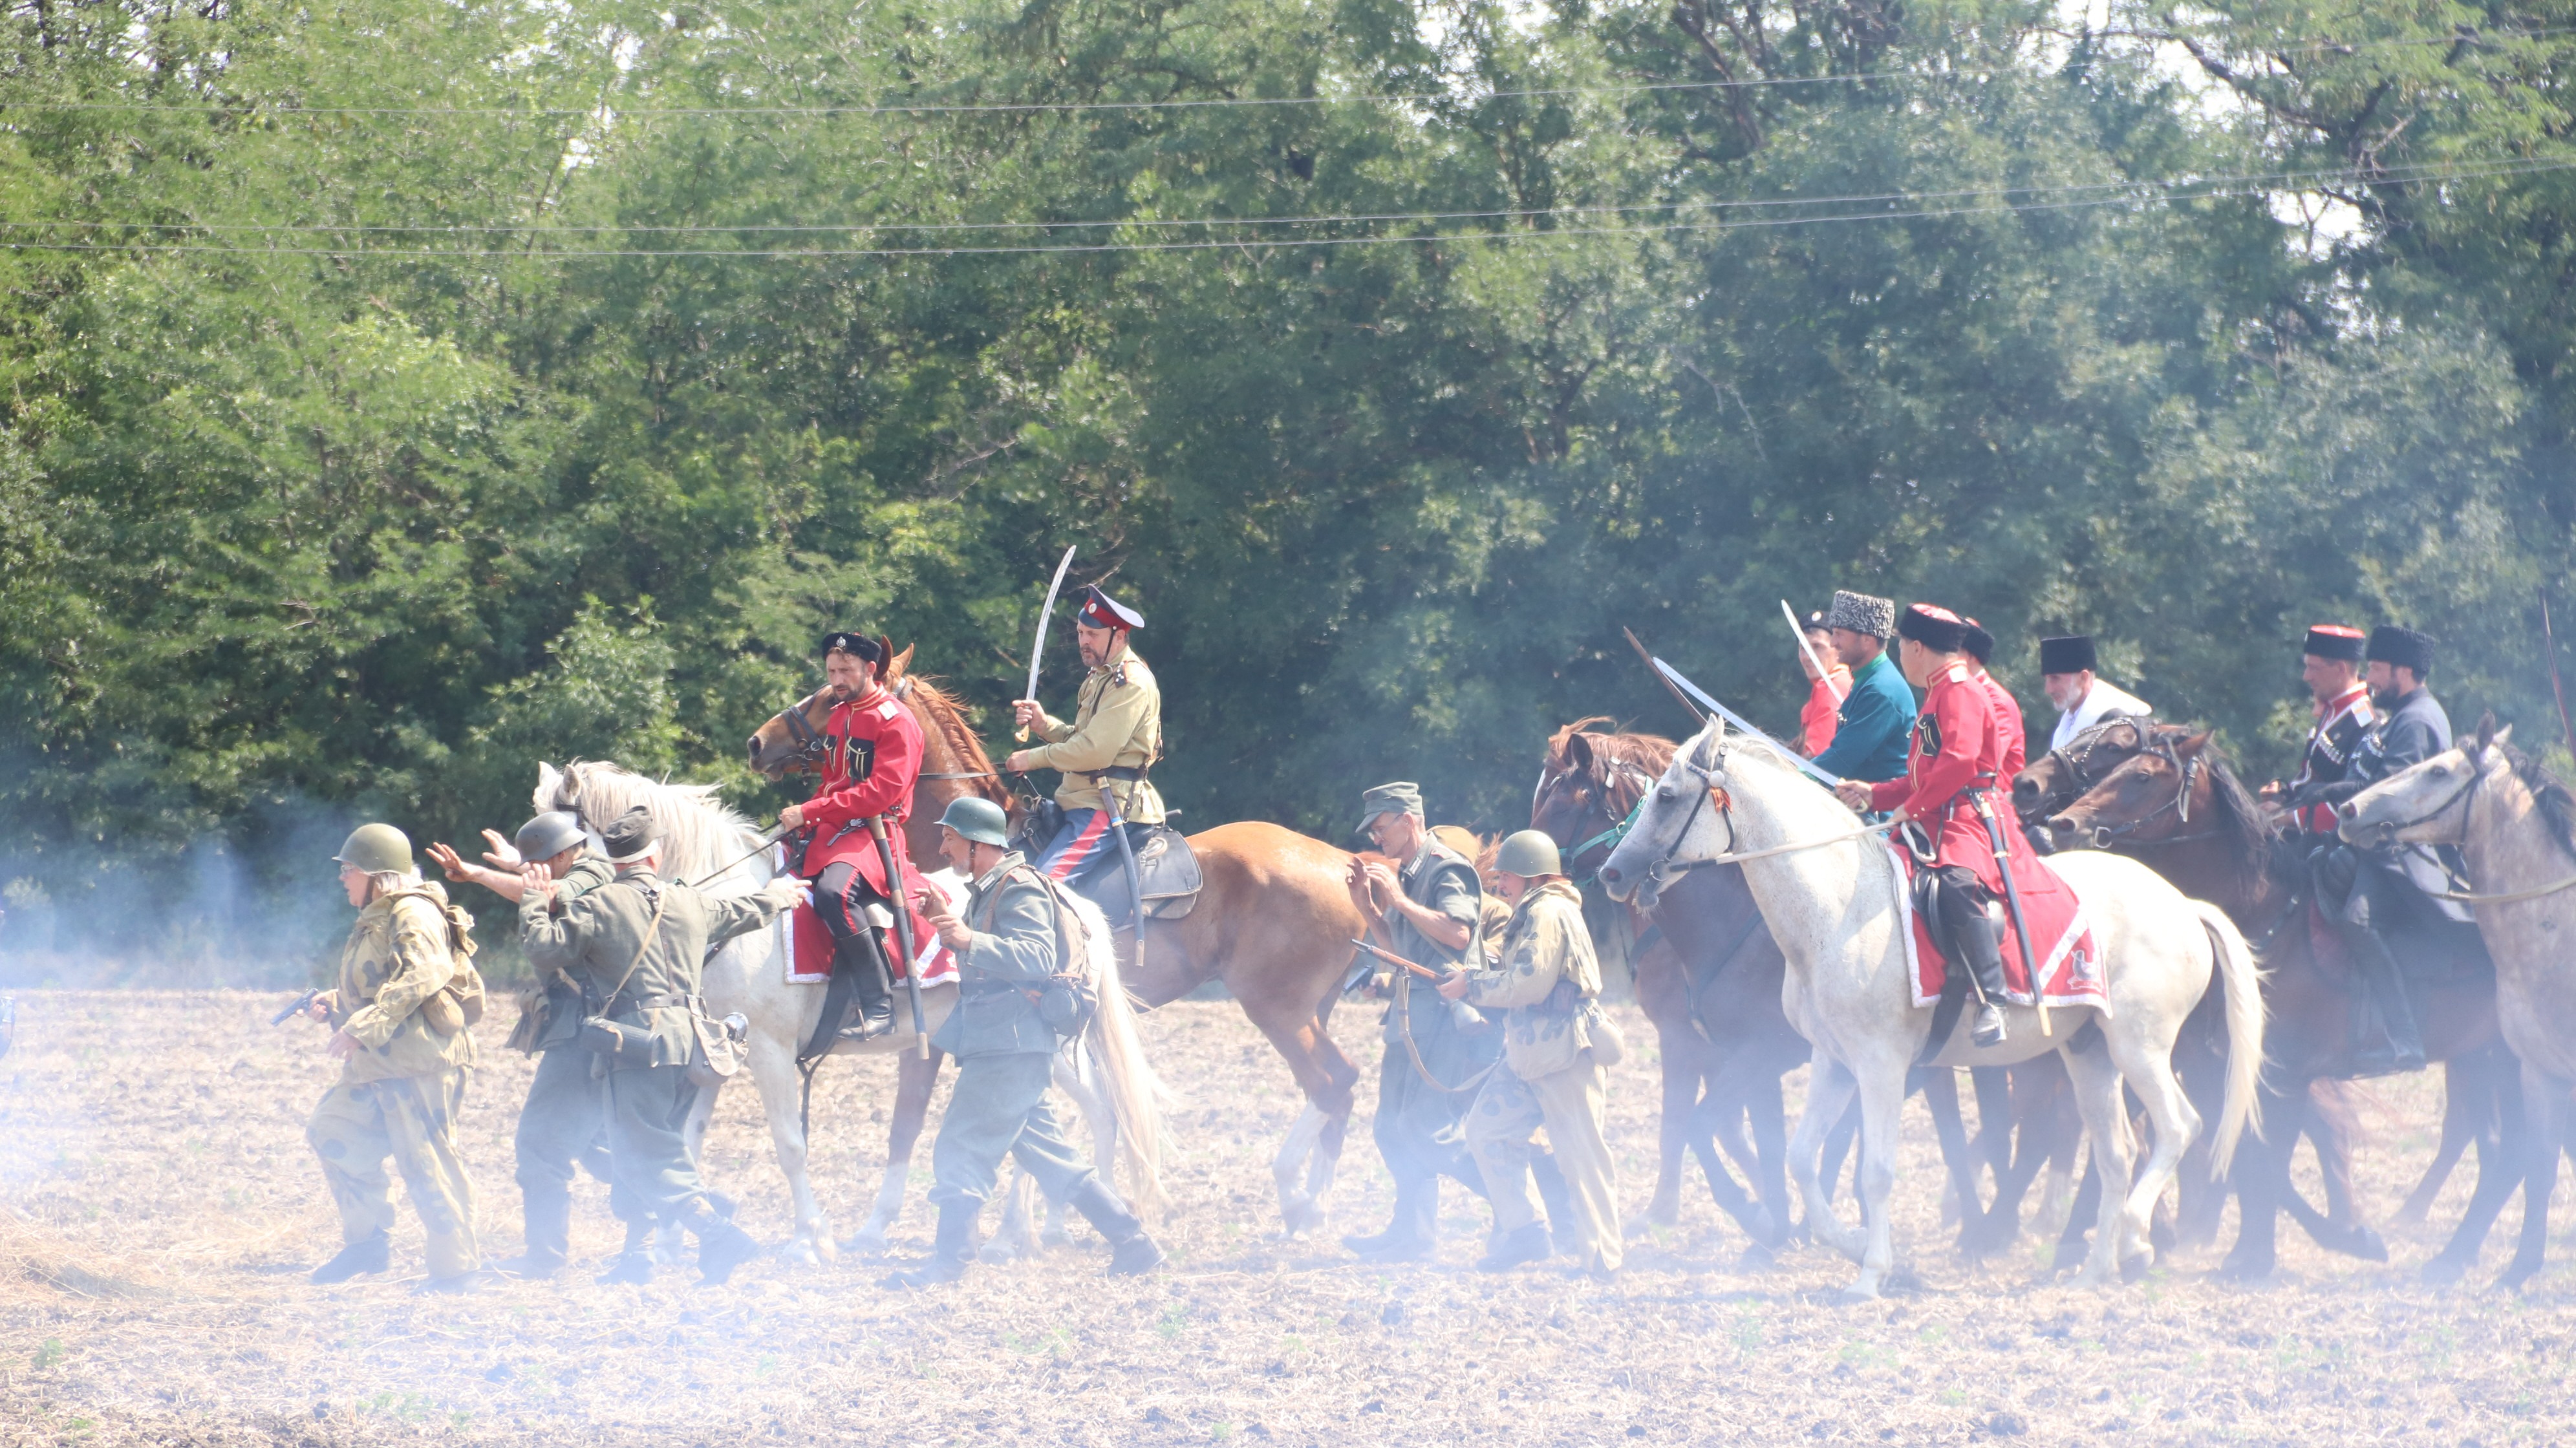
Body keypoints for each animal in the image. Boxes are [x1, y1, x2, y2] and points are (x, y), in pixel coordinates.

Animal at [1525, 716, 1792, 1247]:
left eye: (1562, 804)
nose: (1511, 872)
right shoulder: (1719, 1050)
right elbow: (1730, 1127)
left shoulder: (1684, 1039)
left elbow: (1681, 1123)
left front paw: (1665, 1210)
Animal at [1587, 716, 2256, 1288]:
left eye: (1668, 796)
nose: (1612, 874)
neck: (1837, 908)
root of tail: (2181, 904)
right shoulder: (1832, 1062)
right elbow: (1802, 1159)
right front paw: (1848, 1242)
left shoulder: (1878, 1066)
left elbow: (1874, 1170)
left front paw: (1871, 1272)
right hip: (2090, 1054)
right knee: (2116, 1153)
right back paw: (2093, 1268)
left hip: (2139, 1048)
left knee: (2177, 1127)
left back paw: (2133, 1238)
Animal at [2040, 721, 2524, 1272]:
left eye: (2139, 774)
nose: (2063, 824)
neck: (2265, 917)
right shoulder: (2238, 1068)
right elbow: (2252, 1158)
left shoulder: (2282, 1073)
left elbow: (2264, 1159)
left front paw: (2254, 1257)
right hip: (2480, 1057)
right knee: (2499, 1150)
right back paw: (2456, 1251)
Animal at [2339, 716, 2576, 1277]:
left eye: (2439, 770)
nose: (2349, 811)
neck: (2554, 929)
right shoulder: (2542, 1072)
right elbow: (2540, 1167)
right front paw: (2517, 1273)